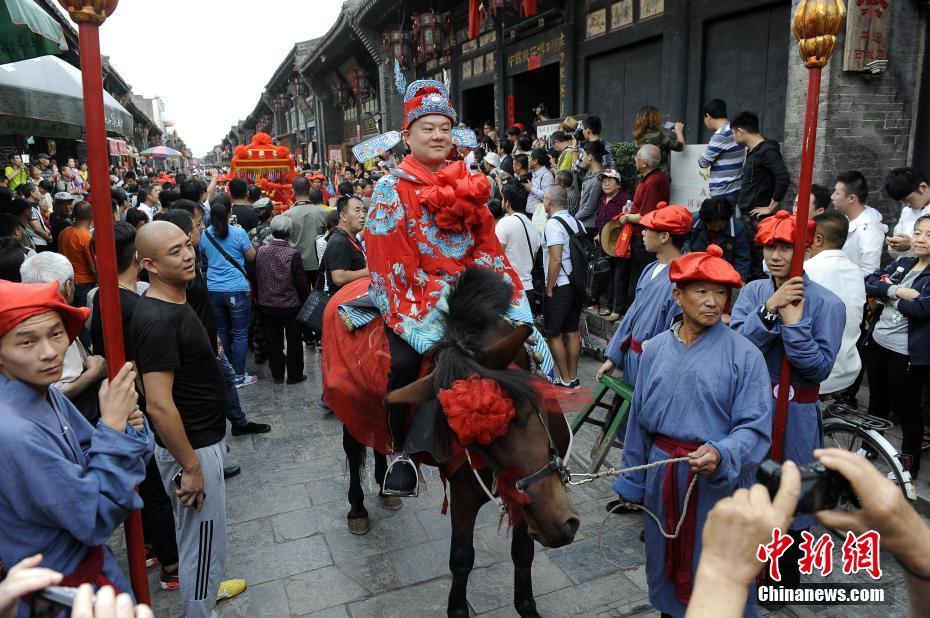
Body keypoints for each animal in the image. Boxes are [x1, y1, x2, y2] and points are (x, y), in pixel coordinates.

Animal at [322, 270, 576, 616]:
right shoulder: (464, 493)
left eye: (525, 407)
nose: (558, 525)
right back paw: (358, 509)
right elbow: (462, 559)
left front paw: (527, 606)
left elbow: (523, 552)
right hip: (350, 404)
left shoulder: (526, 495)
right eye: (465, 432)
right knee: (352, 447)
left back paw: (386, 487)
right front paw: (458, 607)